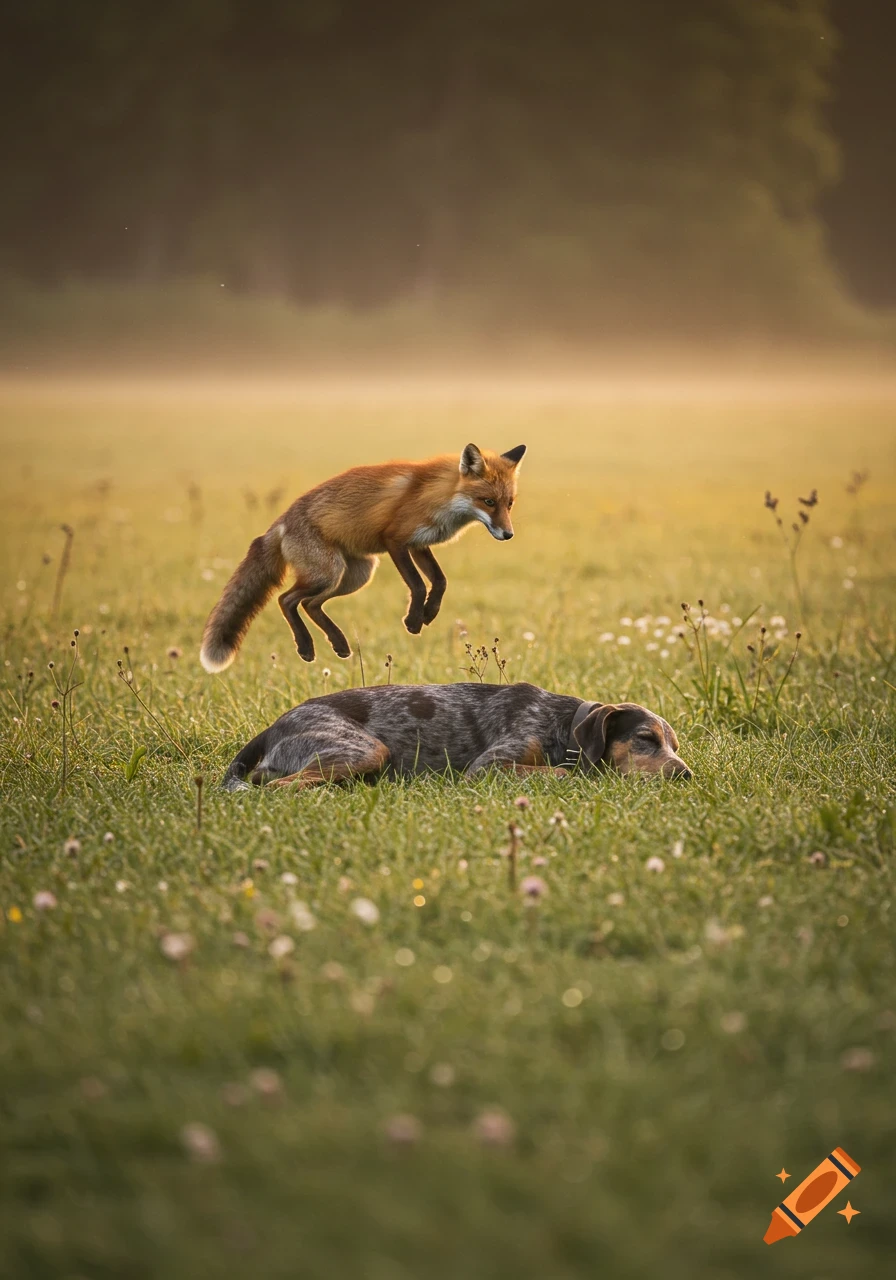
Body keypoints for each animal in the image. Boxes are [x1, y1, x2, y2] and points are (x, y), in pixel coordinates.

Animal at [200, 442, 526, 670]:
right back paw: (306, 647)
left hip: (356, 575)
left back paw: (338, 644)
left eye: (509, 503)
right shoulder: (396, 540)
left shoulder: (419, 544)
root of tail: (279, 522)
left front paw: (429, 613)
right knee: (287, 599)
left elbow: (440, 581)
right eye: (488, 501)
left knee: (310, 604)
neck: (439, 496)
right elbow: (418, 584)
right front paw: (413, 621)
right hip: (328, 573)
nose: (508, 535)